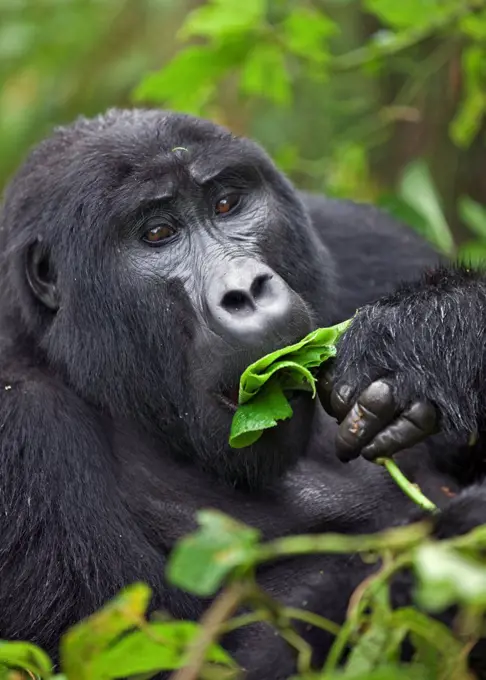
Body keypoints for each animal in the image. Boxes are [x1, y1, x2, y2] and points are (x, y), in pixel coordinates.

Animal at [0, 106, 486, 676]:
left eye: (227, 204)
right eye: (158, 233)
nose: (247, 291)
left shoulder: (363, 239)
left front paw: (438, 332)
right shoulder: (22, 430)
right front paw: (455, 537)